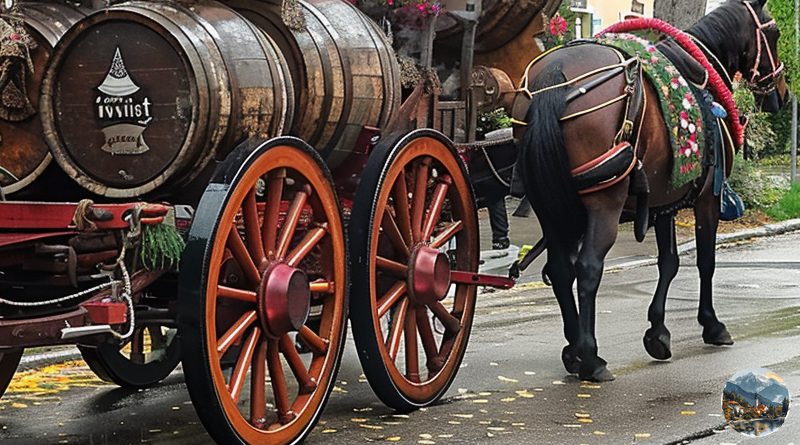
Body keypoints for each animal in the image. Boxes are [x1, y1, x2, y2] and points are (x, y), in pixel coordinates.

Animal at [516, 0, 784, 382]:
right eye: (773, 33)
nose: (781, 95)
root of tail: (555, 72)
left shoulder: (666, 198)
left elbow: (669, 262)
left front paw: (658, 332)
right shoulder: (707, 198)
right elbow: (705, 261)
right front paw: (712, 325)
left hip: (548, 206)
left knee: (560, 269)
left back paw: (573, 350)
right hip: (604, 203)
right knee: (588, 268)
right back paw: (591, 357)